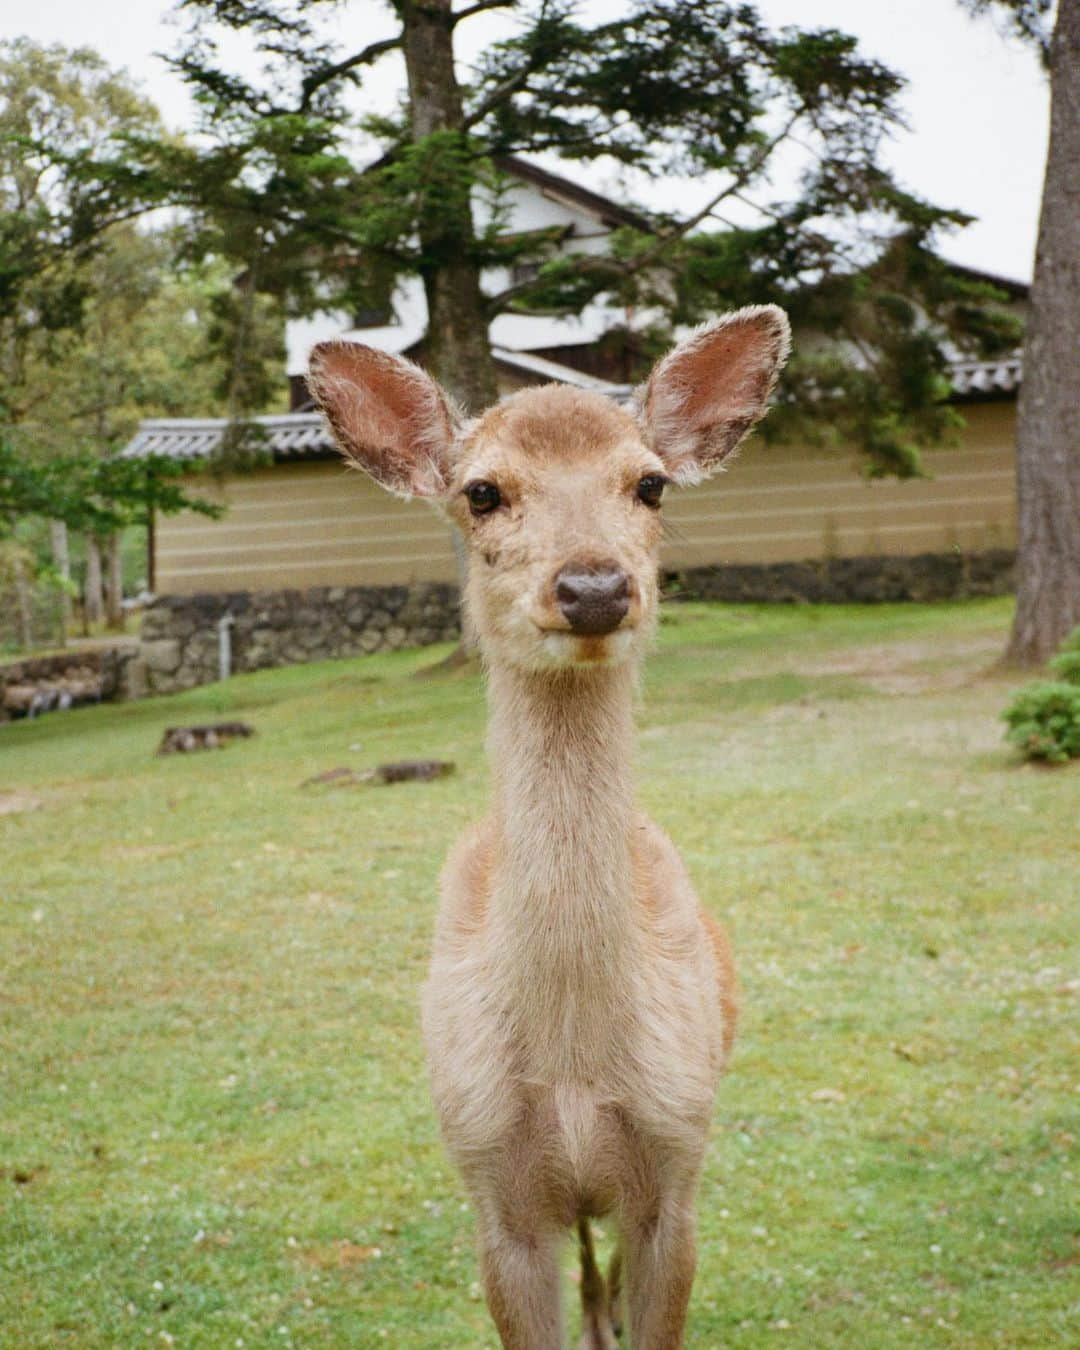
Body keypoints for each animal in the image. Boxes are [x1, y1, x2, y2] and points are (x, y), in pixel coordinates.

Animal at [307, 306, 788, 1350]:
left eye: (649, 482)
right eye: (482, 491)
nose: (595, 588)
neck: (573, 1067)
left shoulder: (676, 1161)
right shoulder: (490, 1181)